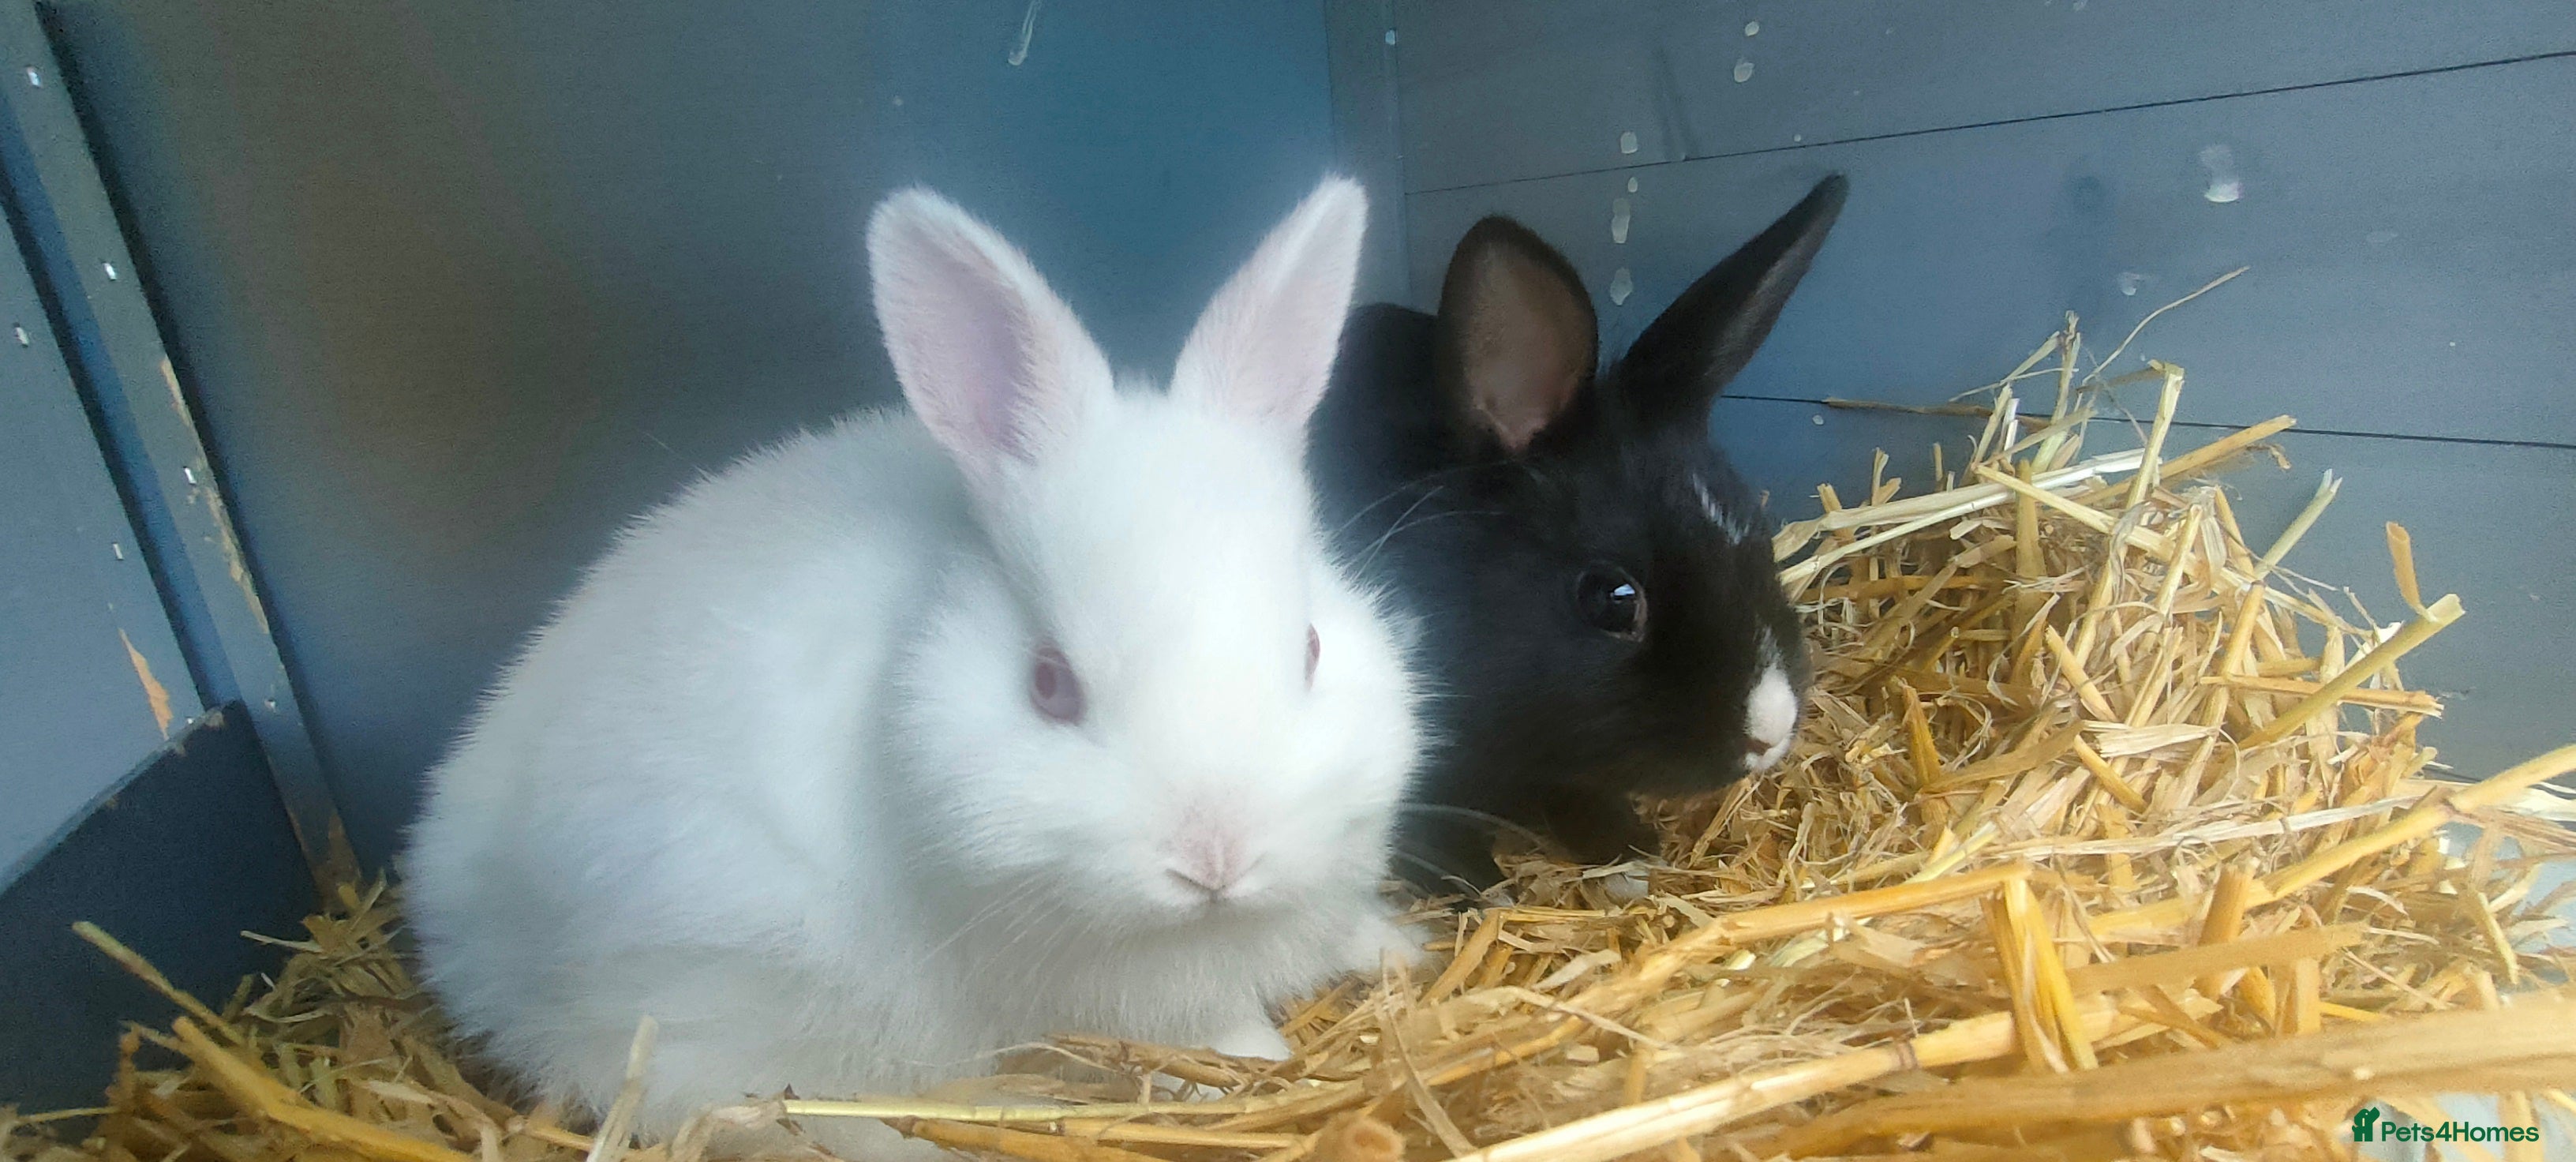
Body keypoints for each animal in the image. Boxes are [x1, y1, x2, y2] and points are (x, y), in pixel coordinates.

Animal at [399, 176, 1424, 1159]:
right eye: (1048, 682)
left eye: (1311, 646)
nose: (1215, 856)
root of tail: (453, 920)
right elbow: (1211, 1034)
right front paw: (1258, 1060)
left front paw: (1398, 944)